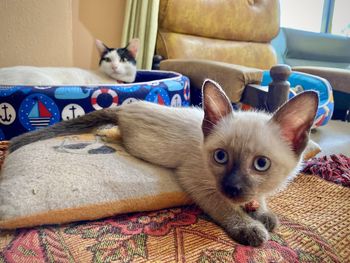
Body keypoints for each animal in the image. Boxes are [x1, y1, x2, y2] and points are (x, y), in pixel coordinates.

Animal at [9, 81, 318, 248]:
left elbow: (260, 199)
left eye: (261, 164)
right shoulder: (198, 183)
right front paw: (250, 227)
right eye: (220, 157)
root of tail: (128, 105)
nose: (232, 188)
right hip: (132, 140)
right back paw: (104, 135)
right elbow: (225, 209)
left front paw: (263, 213)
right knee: (115, 131)